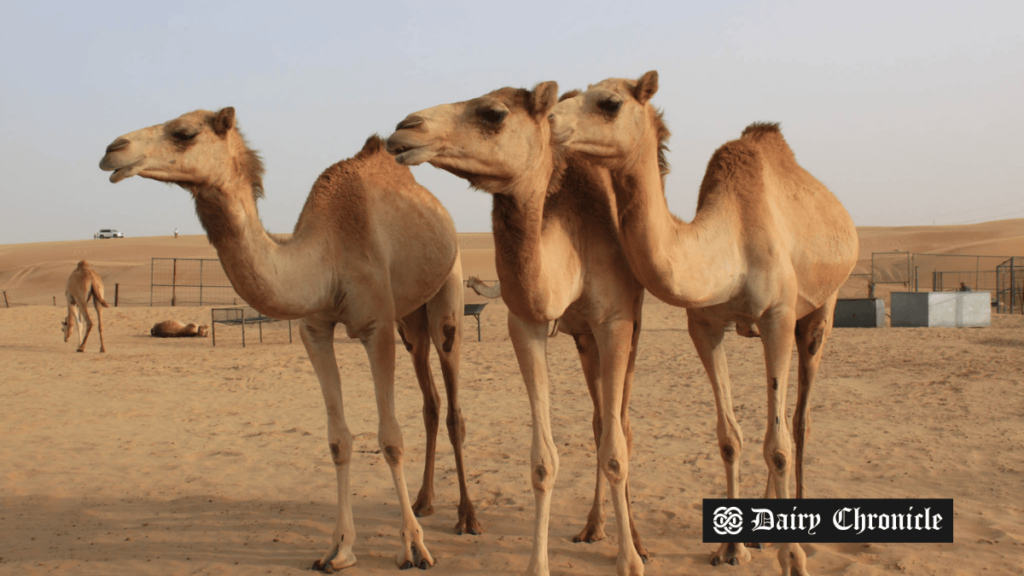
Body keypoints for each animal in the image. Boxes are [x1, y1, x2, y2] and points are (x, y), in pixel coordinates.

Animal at [97, 108, 481, 569]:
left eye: (184, 132)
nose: (112, 149)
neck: (326, 258)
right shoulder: (314, 329)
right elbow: (338, 440)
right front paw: (338, 550)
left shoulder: (376, 327)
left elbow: (390, 439)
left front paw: (414, 548)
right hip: (410, 318)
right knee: (430, 400)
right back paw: (424, 502)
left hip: (447, 291)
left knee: (454, 400)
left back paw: (467, 517)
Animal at [387, 81, 651, 573]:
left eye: (493, 113)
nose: (405, 128)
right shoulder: (525, 324)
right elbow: (544, 462)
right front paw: (538, 564)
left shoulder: (615, 322)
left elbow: (617, 450)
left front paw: (630, 561)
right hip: (581, 338)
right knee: (598, 421)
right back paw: (591, 527)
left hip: (629, 323)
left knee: (619, 426)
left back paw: (635, 539)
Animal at [552, 72, 856, 573]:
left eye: (610, 103)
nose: (550, 120)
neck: (730, 243)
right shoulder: (704, 326)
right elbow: (730, 436)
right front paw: (731, 549)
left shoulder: (776, 317)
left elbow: (778, 444)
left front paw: (793, 557)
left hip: (819, 311)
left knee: (799, 421)